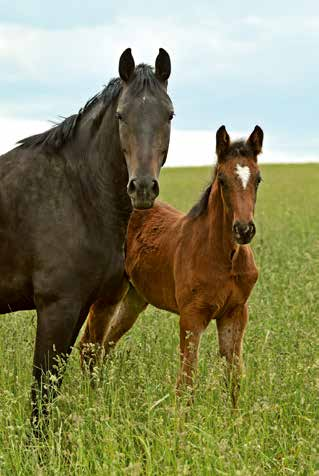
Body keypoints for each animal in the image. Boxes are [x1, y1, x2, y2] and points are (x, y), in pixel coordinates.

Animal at [80, 124, 264, 404]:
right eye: (222, 180)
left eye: (258, 179)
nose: (244, 230)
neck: (225, 257)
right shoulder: (191, 316)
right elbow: (186, 382)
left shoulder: (235, 314)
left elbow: (233, 378)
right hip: (107, 296)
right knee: (89, 345)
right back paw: (91, 399)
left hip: (134, 299)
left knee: (106, 344)